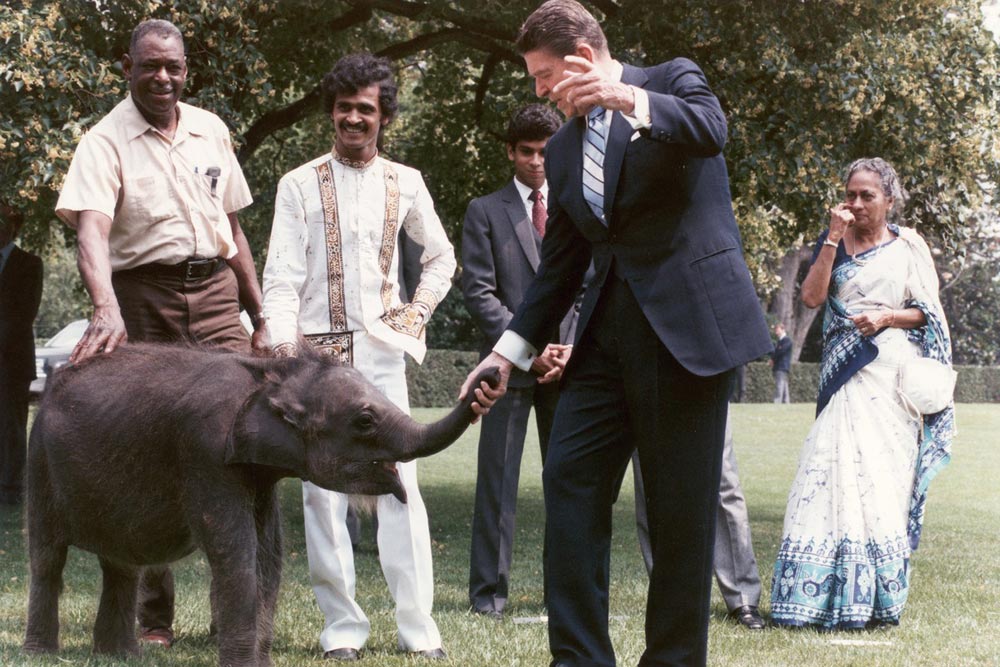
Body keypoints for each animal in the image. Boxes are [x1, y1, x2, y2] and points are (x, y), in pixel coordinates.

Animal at [25, 344, 500, 667]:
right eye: (364, 421)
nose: (491, 375)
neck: (270, 375)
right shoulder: (205, 455)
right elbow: (236, 555)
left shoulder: (257, 473)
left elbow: (269, 557)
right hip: (41, 466)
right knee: (48, 559)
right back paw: (42, 653)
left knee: (121, 565)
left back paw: (120, 655)